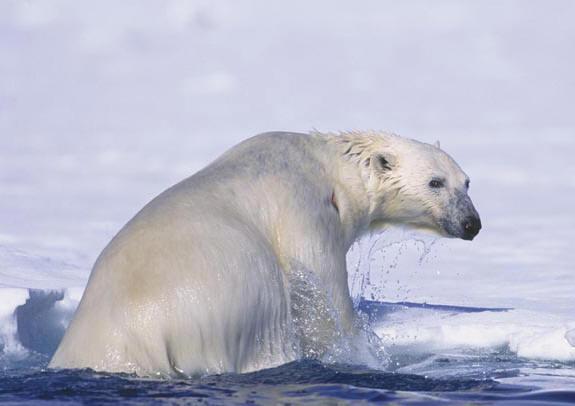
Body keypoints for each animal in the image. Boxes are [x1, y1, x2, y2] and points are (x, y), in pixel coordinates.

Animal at [49, 132, 482, 376]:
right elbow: (323, 295)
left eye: (467, 182)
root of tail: (129, 340)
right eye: (435, 182)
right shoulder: (305, 213)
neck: (329, 167)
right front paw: (358, 352)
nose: (471, 224)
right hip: (233, 308)